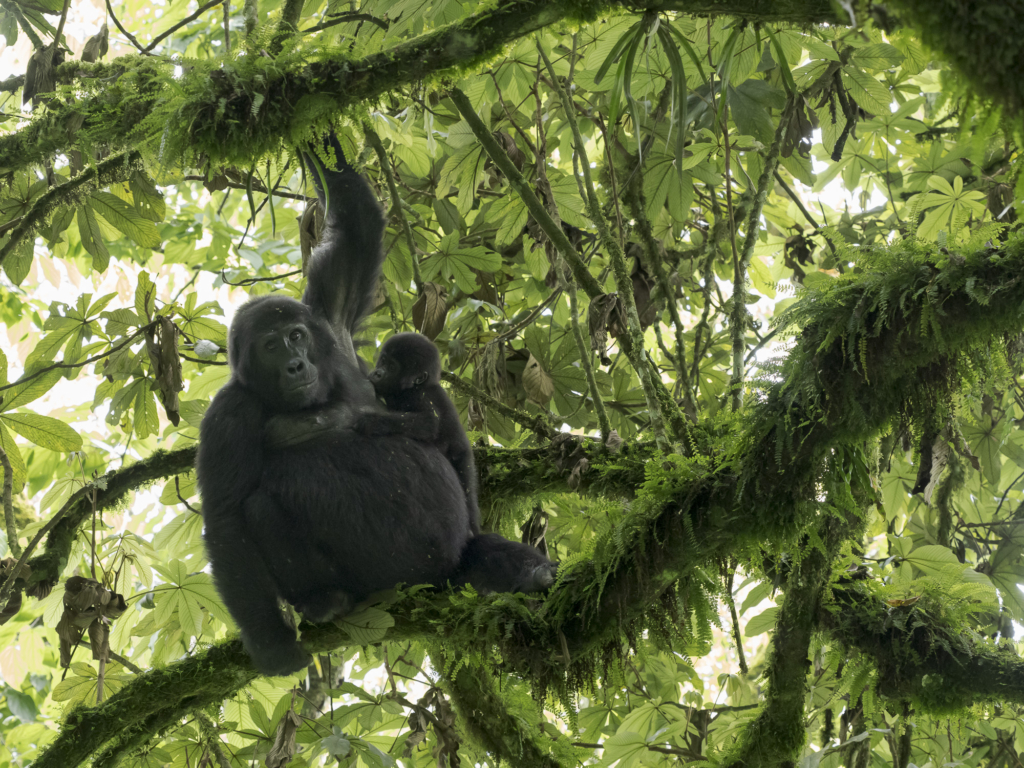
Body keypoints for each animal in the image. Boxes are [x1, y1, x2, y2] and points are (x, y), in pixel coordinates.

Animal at [358, 333, 481, 536]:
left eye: (392, 367)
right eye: (383, 361)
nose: (377, 373)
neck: (411, 387)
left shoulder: (419, 396)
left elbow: (429, 423)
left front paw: (372, 422)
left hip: (463, 460)